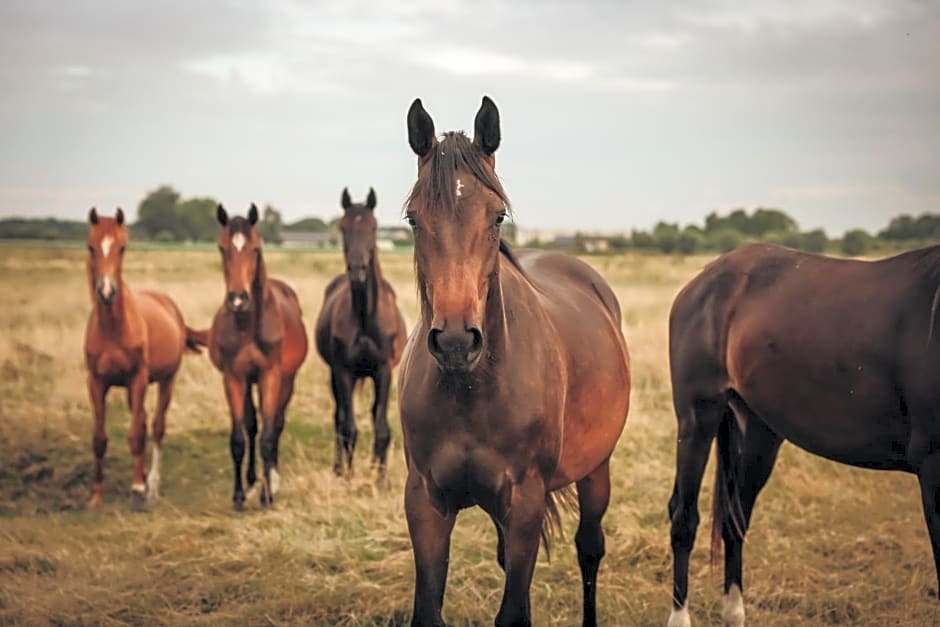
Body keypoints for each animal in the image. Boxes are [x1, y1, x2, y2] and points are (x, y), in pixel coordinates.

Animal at [83, 206, 207, 510]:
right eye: (91, 246)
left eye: (123, 247)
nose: (106, 292)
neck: (114, 328)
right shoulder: (96, 382)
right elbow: (99, 438)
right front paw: (96, 495)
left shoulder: (137, 378)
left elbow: (137, 433)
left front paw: (138, 488)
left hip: (166, 381)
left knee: (156, 427)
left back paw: (150, 487)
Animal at [209, 206, 308, 510]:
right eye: (222, 247)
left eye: (255, 248)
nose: (238, 299)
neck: (248, 324)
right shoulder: (234, 378)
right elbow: (239, 438)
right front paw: (239, 495)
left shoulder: (270, 377)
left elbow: (268, 435)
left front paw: (267, 495)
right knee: (253, 424)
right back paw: (253, 477)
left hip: (287, 381)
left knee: (275, 424)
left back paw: (271, 478)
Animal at [314, 185, 406, 480]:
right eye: (343, 227)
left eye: (373, 227)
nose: (358, 270)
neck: (366, 317)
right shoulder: (344, 372)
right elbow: (348, 428)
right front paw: (348, 476)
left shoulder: (384, 371)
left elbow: (382, 429)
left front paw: (380, 479)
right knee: (339, 419)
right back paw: (338, 468)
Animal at [396, 95, 632, 624]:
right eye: (414, 219)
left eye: (498, 216)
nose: (456, 340)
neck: (471, 389)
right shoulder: (425, 503)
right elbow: (430, 609)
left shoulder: (525, 502)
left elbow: (513, 612)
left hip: (596, 470)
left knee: (590, 549)